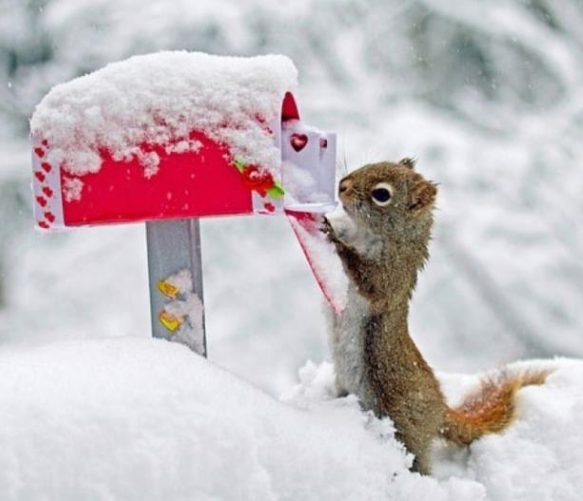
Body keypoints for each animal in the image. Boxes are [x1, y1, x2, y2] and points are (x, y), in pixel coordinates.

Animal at [324, 159, 548, 472]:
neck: (370, 234)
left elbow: (369, 281)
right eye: (370, 163)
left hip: (405, 425)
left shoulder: (392, 275)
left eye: (381, 195)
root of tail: (440, 409)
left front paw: (334, 238)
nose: (342, 186)